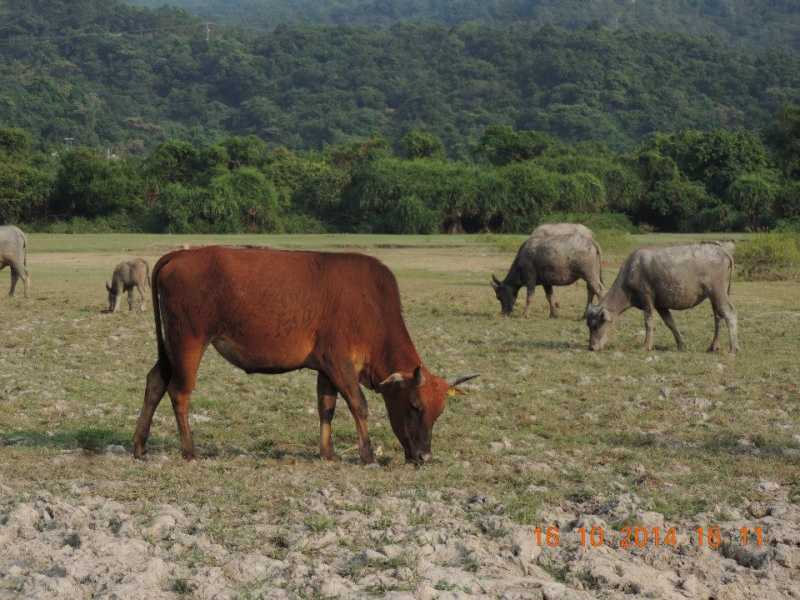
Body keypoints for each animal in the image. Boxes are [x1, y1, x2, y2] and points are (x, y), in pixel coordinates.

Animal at [131, 246, 476, 466]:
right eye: (415, 406)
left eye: (439, 411)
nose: (424, 456)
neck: (371, 306)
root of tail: (181, 254)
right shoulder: (340, 363)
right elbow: (359, 405)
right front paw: (367, 455)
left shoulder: (326, 368)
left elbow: (327, 407)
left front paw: (327, 453)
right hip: (188, 342)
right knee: (179, 392)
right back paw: (189, 450)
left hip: (172, 347)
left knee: (155, 382)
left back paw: (139, 446)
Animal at [584, 239, 740, 352]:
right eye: (588, 326)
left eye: (596, 325)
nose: (592, 347)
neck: (632, 270)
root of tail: (722, 250)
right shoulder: (661, 305)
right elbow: (671, 323)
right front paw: (681, 345)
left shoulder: (647, 300)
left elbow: (648, 323)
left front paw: (646, 346)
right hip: (714, 296)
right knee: (718, 317)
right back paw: (713, 346)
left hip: (718, 292)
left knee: (729, 313)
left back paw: (733, 348)